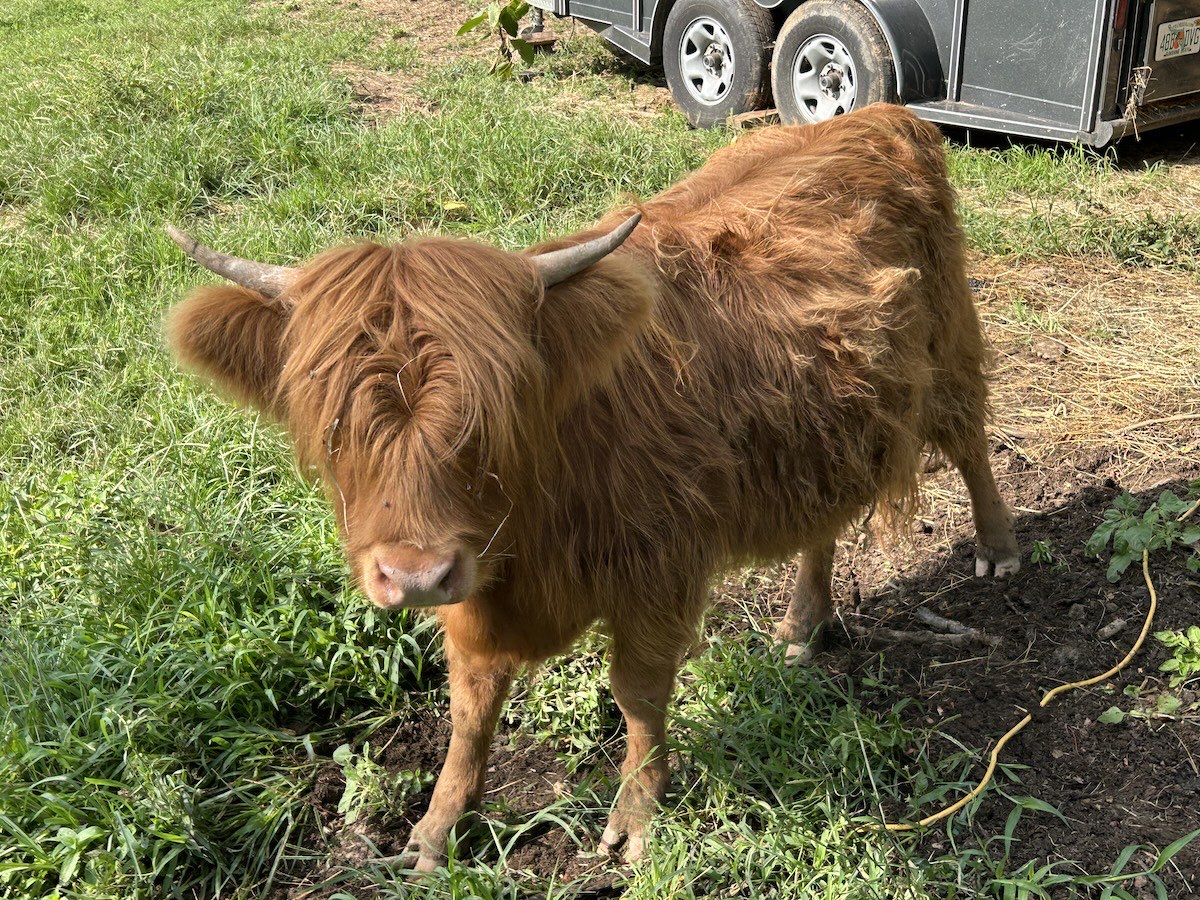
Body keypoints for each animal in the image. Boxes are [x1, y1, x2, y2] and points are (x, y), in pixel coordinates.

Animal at [166, 104, 1018, 871]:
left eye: (497, 408)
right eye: (334, 423)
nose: (414, 577)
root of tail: (881, 114)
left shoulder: (657, 568)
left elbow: (636, 693)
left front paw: (636, 817)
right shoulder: (474, 589)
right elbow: (470, 706)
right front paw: (438, 826)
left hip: (950, 346)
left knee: (972, 439)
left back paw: (998, 548)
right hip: (825, 427)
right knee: (823, 519)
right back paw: (803, 623)